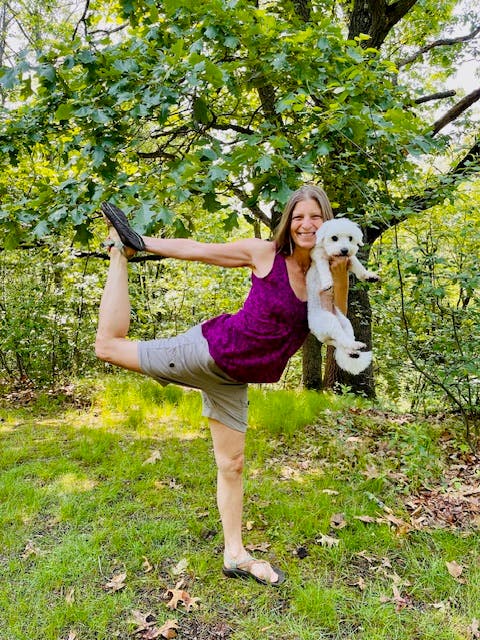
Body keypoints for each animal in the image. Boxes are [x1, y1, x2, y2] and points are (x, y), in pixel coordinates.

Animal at [308, 218, 378, 376]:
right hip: (329, 321)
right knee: (342, 339)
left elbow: (358, 265)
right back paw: (355, 346)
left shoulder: (349, 260)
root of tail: (318, 334)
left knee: (343, 340)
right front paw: (327, 283)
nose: (345, 250)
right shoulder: (319, 256)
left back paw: (353, 351)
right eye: (334, 238)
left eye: (350, 238)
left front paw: (368, 276)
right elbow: (324, 269)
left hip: (345, 323)